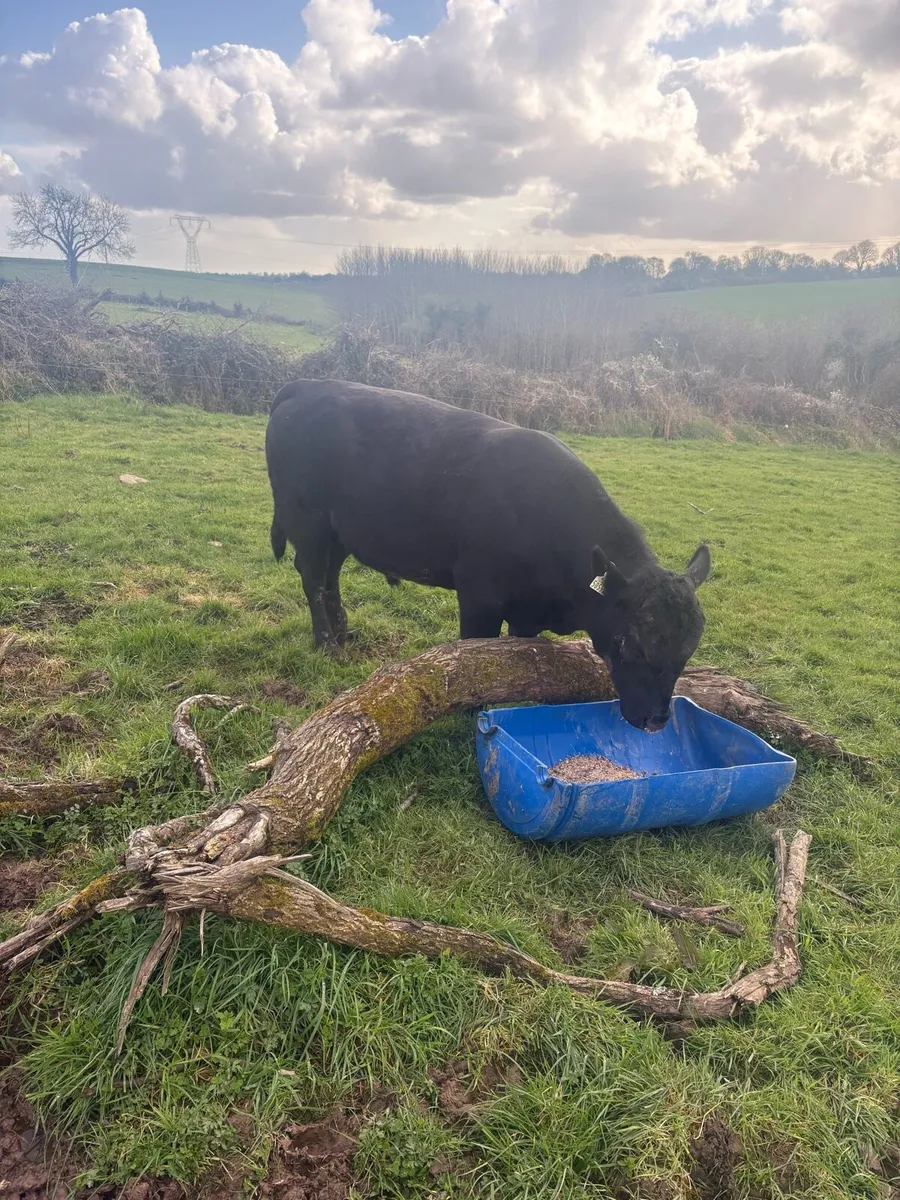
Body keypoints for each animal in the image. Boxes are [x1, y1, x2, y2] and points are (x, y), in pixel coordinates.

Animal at [265, 379, 711, 732]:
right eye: (633, 645)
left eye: (687, 653)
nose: (656, 720)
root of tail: (308, 384)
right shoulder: (479, 596)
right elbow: (473, 659)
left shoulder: (526, 613)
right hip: (307, 520)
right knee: (312, 577)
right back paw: (328, 643)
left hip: (337, 531)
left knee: (330, 576)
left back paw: (343, 630)